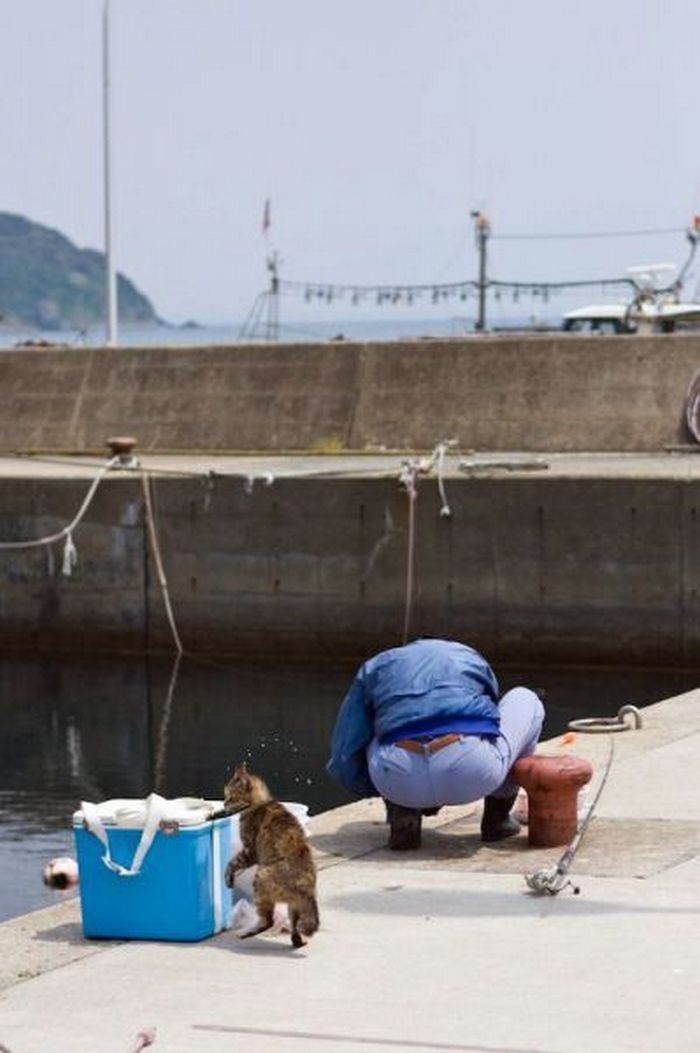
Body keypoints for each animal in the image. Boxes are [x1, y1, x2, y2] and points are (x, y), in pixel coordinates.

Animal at [210, 762, 320, 951]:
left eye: (230, 797)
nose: (223, 802)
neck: (260, 802)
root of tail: (307, 889)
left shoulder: (249, 852)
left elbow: (231, 863)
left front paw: (228, 878)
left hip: (260, 879)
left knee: (267, 921)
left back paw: (246, 933)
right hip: (293, 906)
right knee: (294, 928)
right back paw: (298, 942)